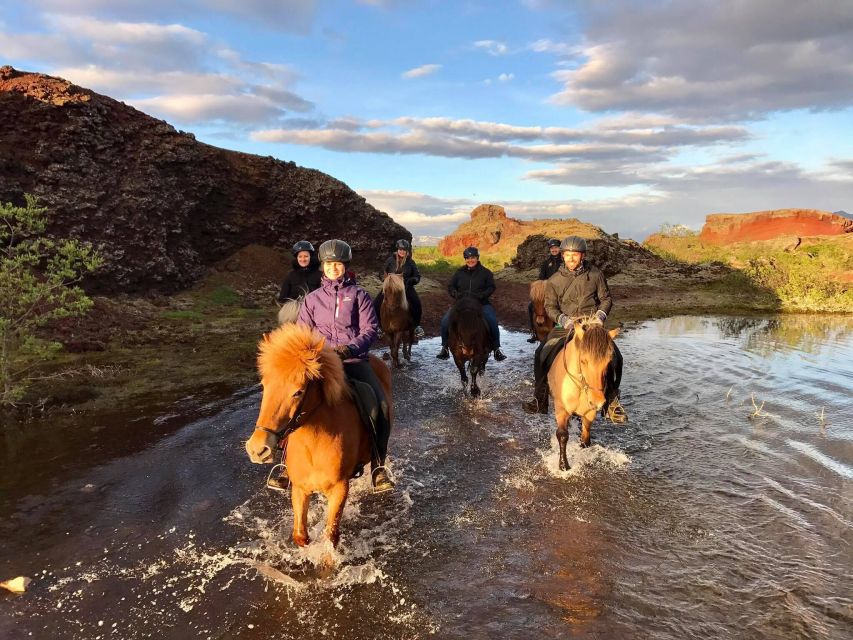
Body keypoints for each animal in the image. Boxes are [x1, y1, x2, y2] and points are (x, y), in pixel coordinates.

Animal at [243, 324, 392, 544]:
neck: (313, 443)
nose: (258, 449)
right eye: (264, 385)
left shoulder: (339, 489)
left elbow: (330, 536)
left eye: (298, 392)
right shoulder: (300, 489)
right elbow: (300, 535)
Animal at [544, 320, 620, 470]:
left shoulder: (590, 412)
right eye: (583, 360)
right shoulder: (561, 410)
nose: (597, 401)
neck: (580, 386)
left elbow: (585, 438)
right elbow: (562, 435)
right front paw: (563, 465)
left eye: (608, 362)